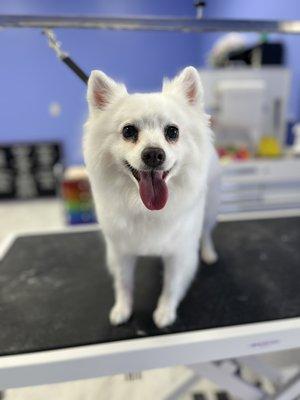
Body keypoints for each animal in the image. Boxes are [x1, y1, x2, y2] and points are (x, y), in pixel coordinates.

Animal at [83, 66, 219, 328]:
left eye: (172, 132)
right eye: (128, 131)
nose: (154, 154)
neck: (145, 208)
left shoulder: (179, 252)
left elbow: (171, 285)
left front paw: (165, 312)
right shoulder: (120, 251)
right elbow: (123, 283)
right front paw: (122, 308)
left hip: (209, 210)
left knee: (207, 233)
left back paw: (208, 253)